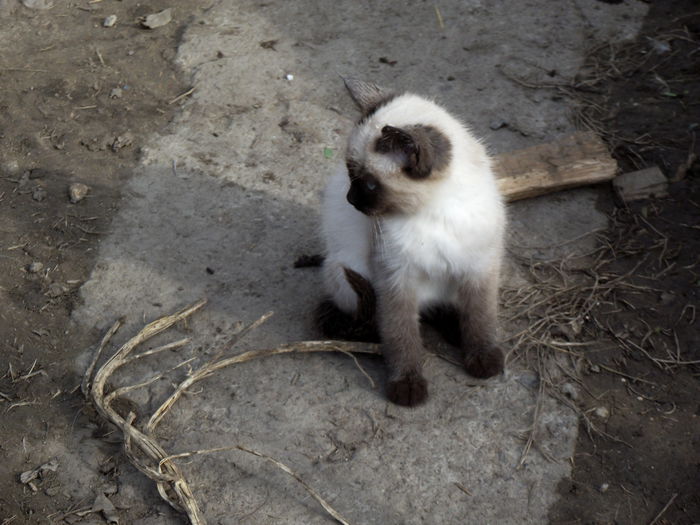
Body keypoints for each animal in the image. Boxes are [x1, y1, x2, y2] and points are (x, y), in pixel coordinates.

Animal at [320, 78, 506, 408]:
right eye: (349, 172)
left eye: (369, 185)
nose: (350, 199)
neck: (432, 213)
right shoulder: (395, 280)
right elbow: (401, 336)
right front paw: (407, 387)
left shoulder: (480, 269)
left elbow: (480, 319)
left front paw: (483, 360)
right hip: (344, 270)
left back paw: (454, 328)